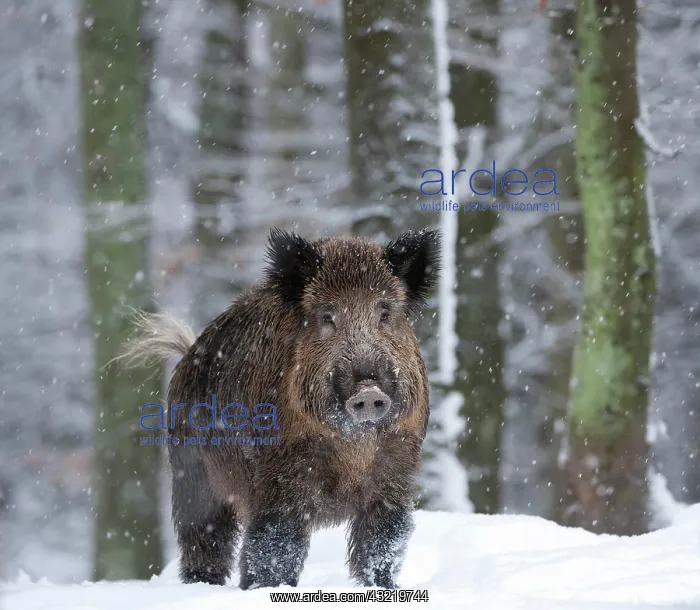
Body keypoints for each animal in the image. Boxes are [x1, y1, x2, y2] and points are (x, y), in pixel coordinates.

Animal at [122, 227, 441, 590]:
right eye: (327, 316)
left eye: (385, 313)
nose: (369, 391)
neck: (352, 447)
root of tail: (188, 353)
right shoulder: (281, 468)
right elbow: (277, 538)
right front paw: (268, 589)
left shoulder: (397, 467)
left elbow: (383, 539)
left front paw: (382, 588)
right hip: (191, 472)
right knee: (204, 536)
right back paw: (203, 583)